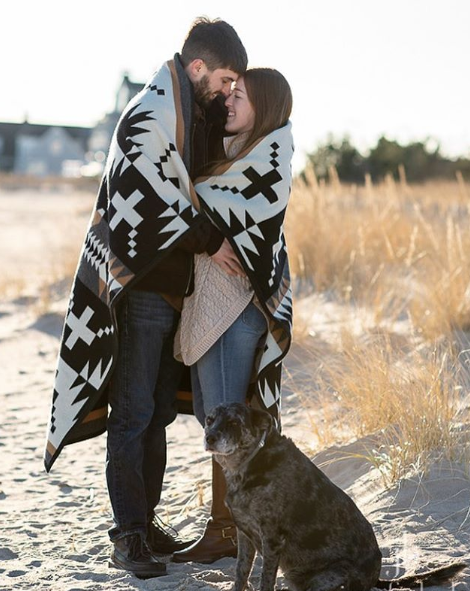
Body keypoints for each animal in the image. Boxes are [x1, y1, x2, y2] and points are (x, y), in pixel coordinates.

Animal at [206, 402, 466, 591]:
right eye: (209, 420)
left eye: (233, 422)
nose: (209, 438)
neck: (249, 462)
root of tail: (375, 578)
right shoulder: (244, 534)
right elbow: (241, 573)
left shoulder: (272, 538)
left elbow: (265, 580)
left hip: (330, 576)